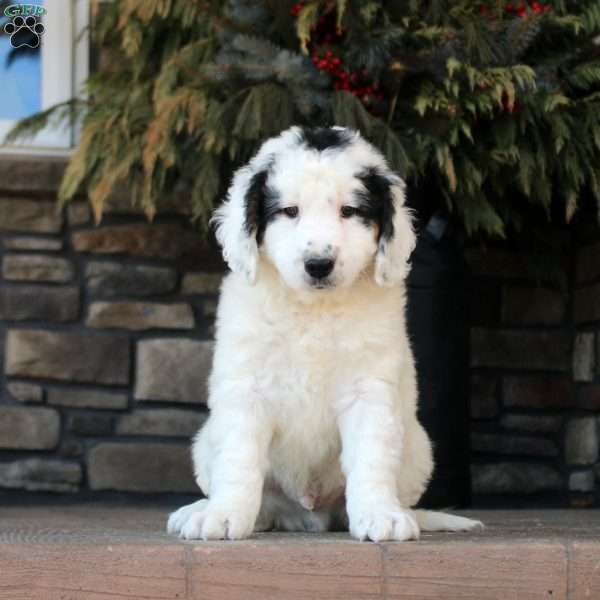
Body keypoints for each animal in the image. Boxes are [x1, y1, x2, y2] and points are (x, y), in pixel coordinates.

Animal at [169, 126, 482, 544]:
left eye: (348, 211)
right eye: (290, 211)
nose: (318, 264)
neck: (313, 310)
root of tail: (308, 514)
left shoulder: (370, 387)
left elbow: (371, 456)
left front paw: (380, 515)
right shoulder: (246, 384)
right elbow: (238, 458)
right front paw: (223, 514)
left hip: (418, 447)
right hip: (204, 443)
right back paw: (215, 510)